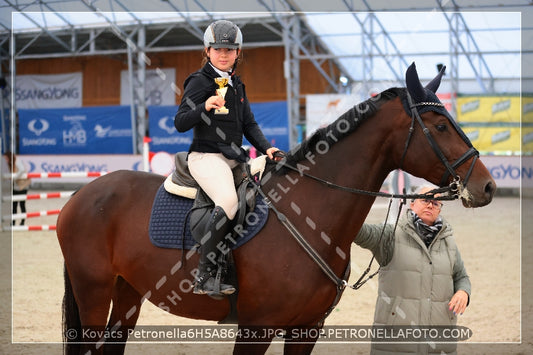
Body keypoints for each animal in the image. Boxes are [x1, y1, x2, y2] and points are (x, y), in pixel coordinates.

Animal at [56, 64, 492, 355]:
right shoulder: (257, 328)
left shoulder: (307, 329)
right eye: (440, 126)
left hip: (127, 290)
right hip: (93, 290)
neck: (309, 215)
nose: (486, 186)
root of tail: (81, 195)